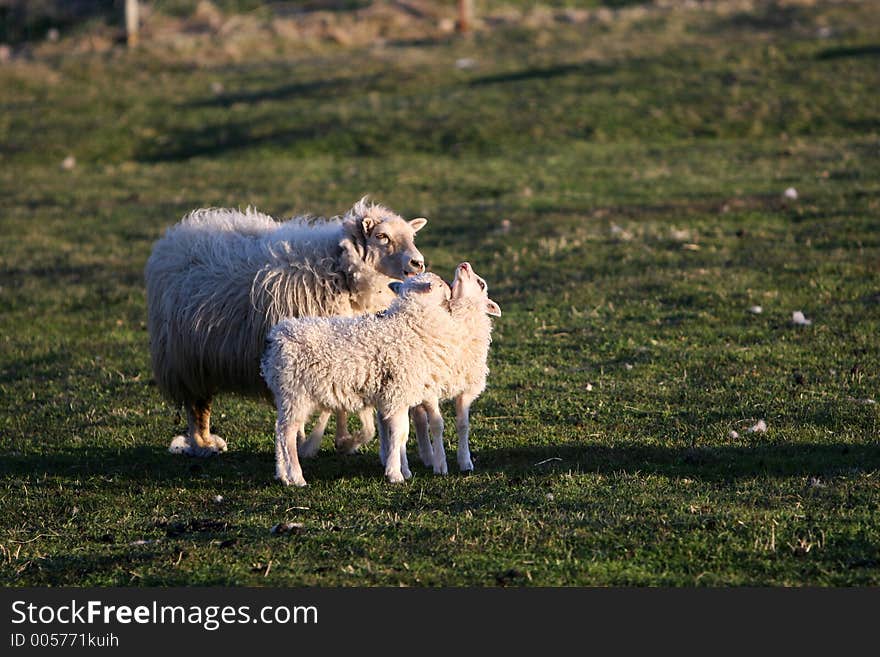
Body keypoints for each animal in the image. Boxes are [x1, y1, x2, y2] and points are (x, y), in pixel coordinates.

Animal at [260, 272, 454, 486]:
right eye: (439, 284)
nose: (450, 287)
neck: (409, 324)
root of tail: (276, 338)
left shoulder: (395, 398)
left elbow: (400, 436)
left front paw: (403, 470)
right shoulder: (397, 394)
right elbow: (399, 435)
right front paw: (395, 474)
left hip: (284, 395)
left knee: (279, 430)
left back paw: (282, 475)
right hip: (296, 393)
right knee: (287, 433)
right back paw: (297, 477)